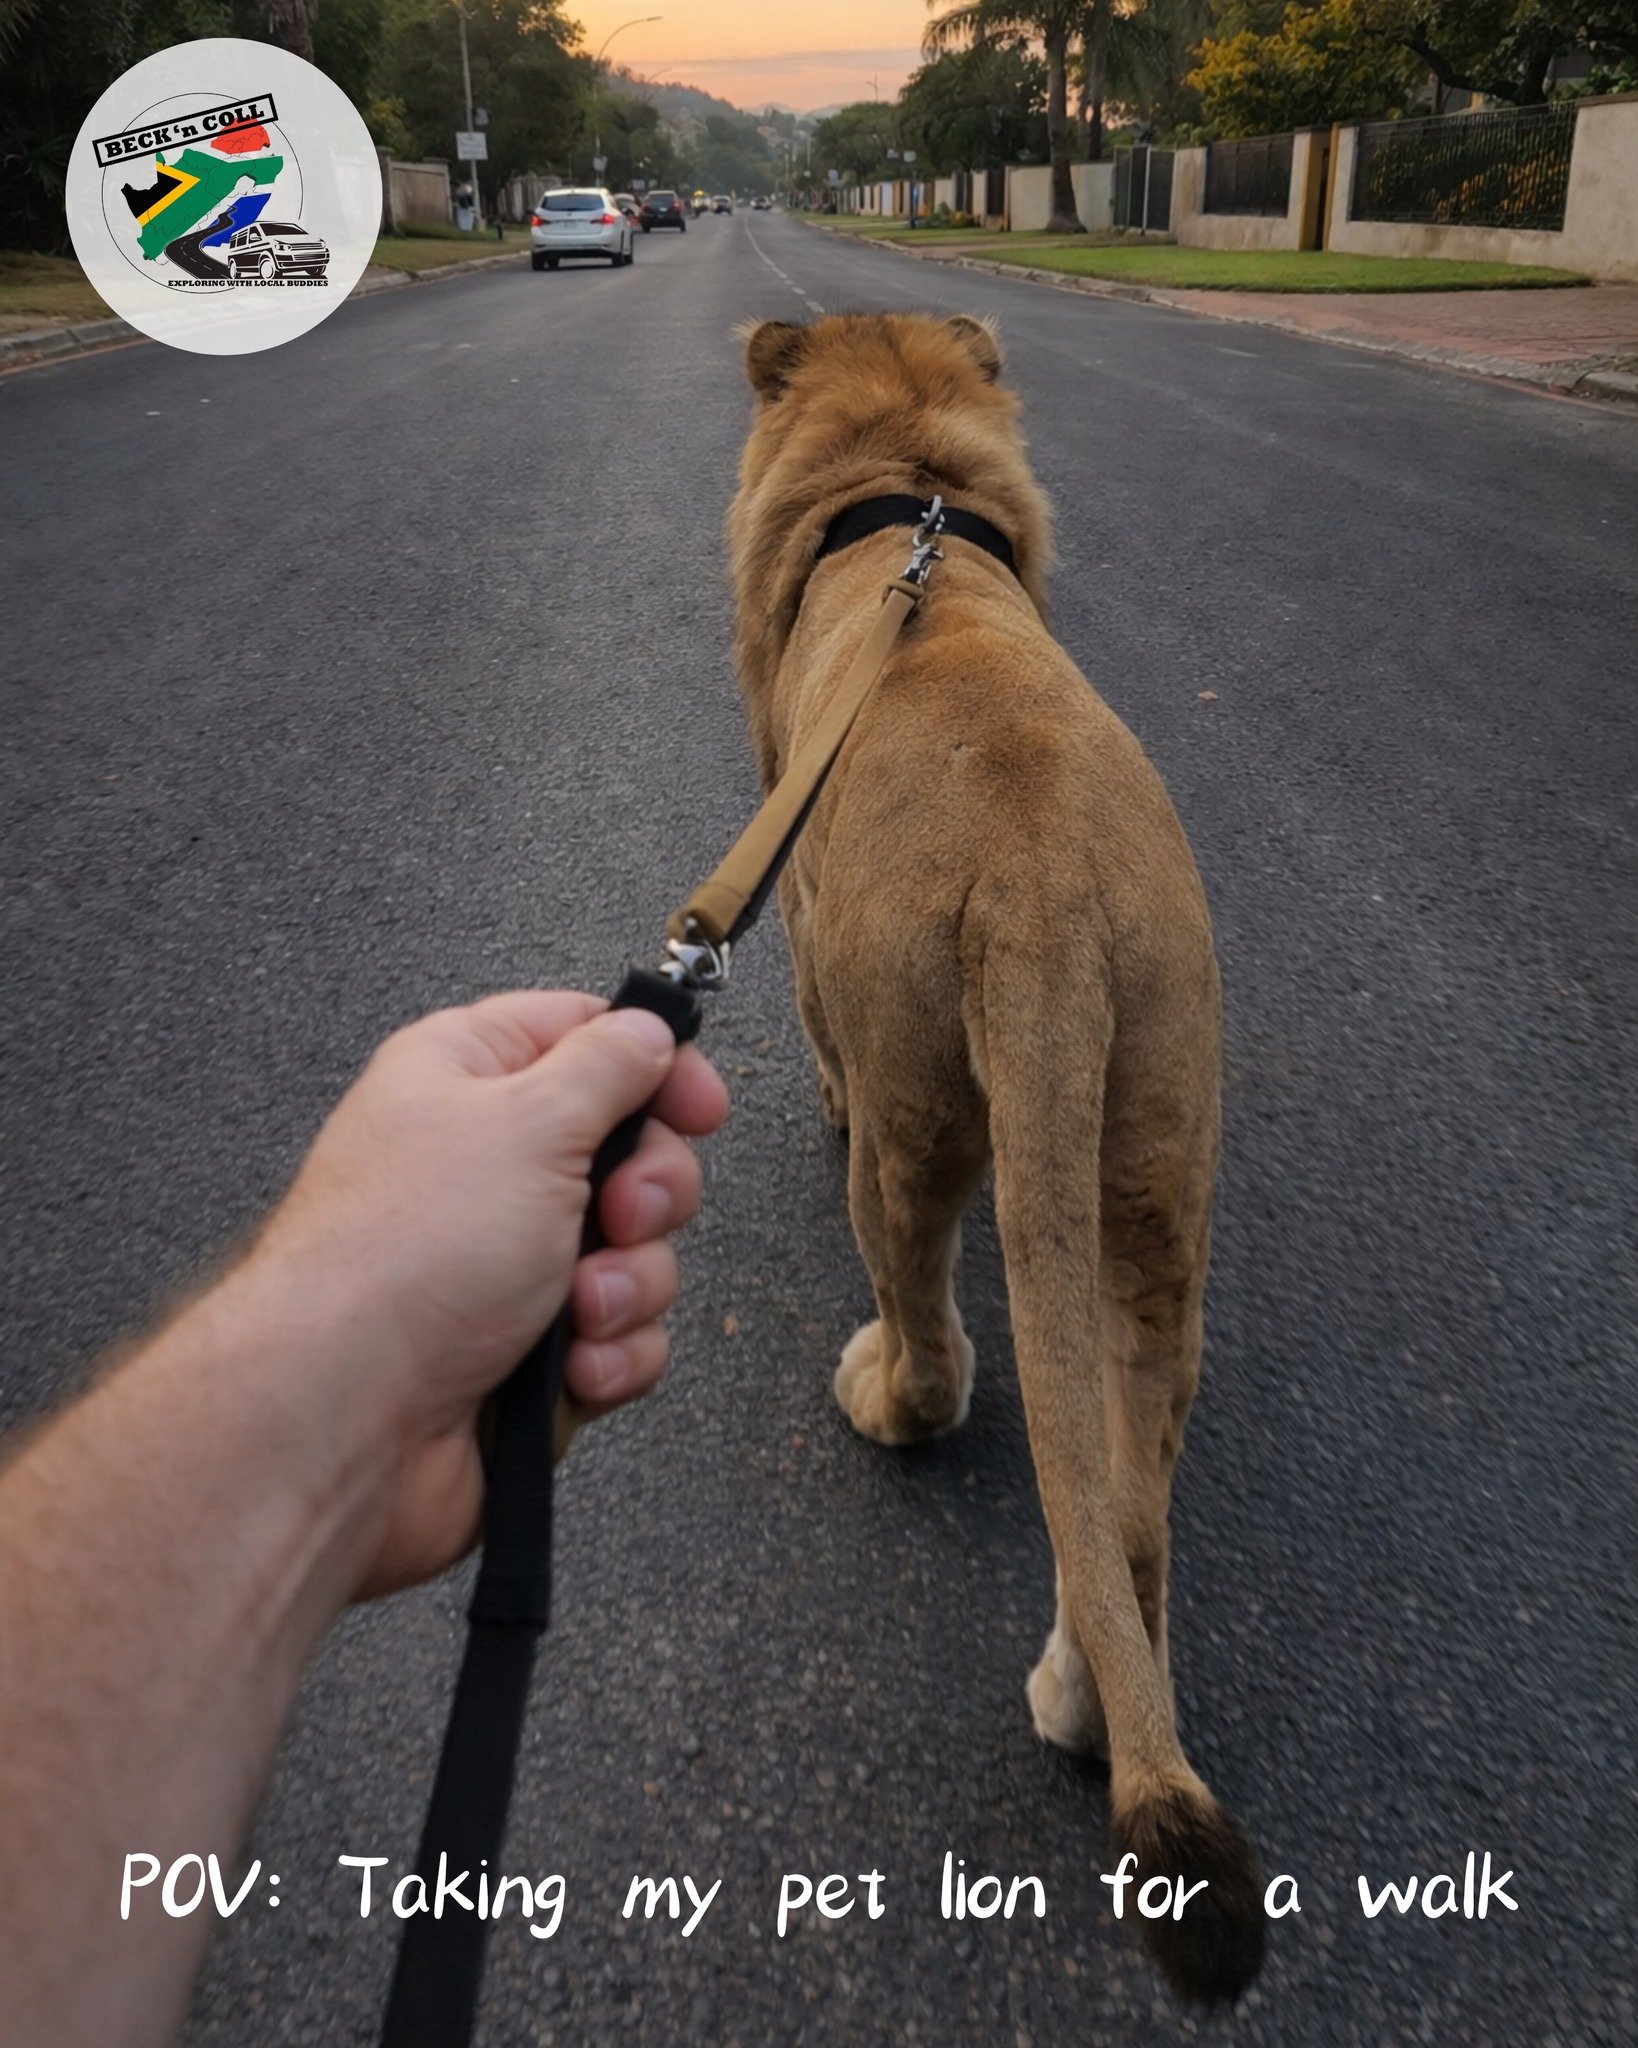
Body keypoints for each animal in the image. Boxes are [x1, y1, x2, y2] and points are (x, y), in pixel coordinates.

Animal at [725, 310, 1264, 2003]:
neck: (906, 499)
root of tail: (1042, 895)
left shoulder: (795, 889)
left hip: (913, 1102)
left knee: (937, 1342)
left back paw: (876, 1394)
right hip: (1153, 1163)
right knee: (1123, 1499)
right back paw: (1087, 1703)